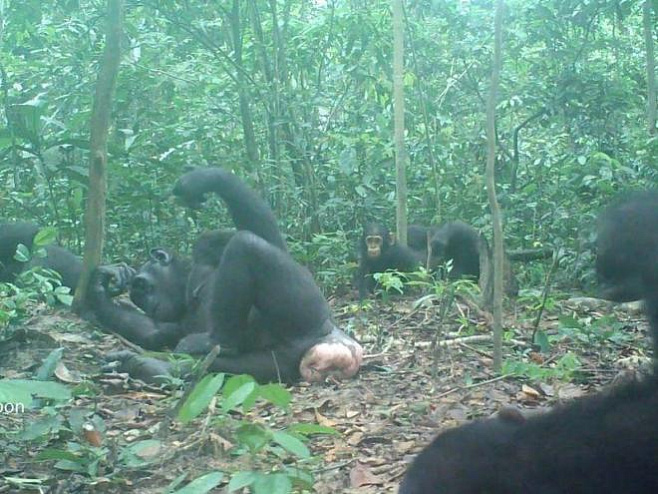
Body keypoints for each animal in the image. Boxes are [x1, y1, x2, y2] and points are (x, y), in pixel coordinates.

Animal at [0, 168, 362, 384]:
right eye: (138, 297)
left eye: (143, 286)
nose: (145, 300)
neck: (189, 285)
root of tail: (337, 342)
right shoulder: (175, 320)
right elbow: (154, 333)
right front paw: (102, 285)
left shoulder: (209, 242)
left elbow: (263, 236)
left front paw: (203, 179)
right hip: (285, 362)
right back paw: (150, 366)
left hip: (307, 312)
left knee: (247, 246)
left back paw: (214, 341)